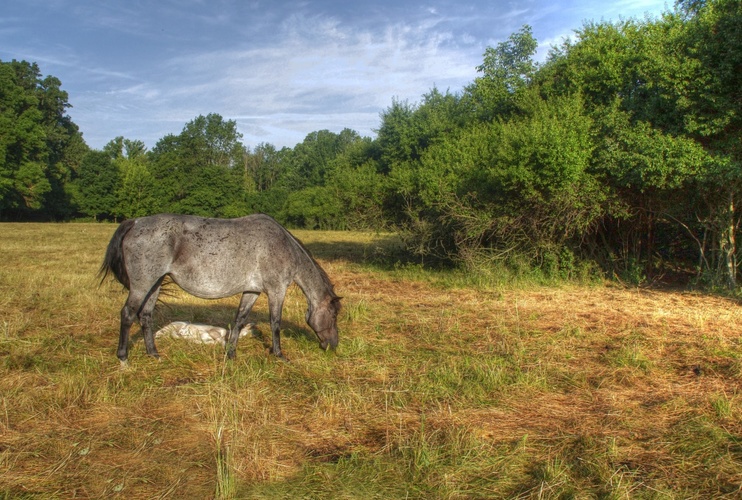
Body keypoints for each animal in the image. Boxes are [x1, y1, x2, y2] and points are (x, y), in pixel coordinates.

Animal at [99, 212, 342, 364]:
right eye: (333, 315)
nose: (333, 345)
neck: (282, 245)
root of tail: (135, 222)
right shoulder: (276, 290)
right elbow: (275, 324)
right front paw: (279, 355)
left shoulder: (252, 291)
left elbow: (239, 319)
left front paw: (231, 354)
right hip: (142, 285)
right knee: (128, 314)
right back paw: (123, 358)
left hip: (154, 284)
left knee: (146, 316)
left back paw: (153, 354)